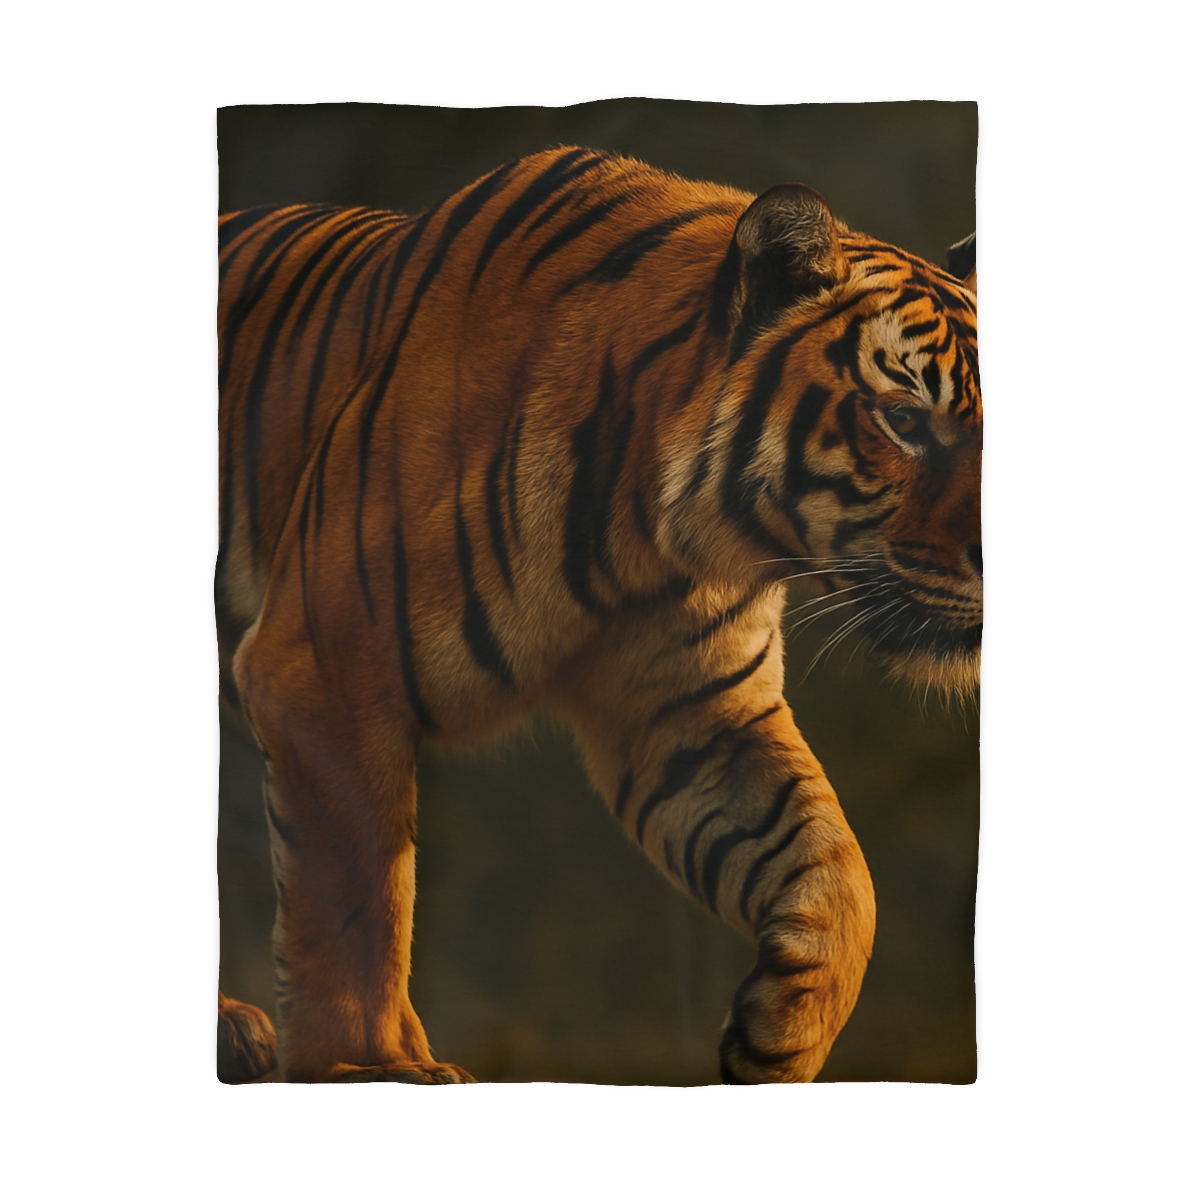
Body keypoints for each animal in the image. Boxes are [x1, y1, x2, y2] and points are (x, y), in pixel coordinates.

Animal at [216, 146, 980, 1085]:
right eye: (904, 419)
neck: (658, 543)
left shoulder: (696, 717)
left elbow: (837, 868)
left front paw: (784, 1035)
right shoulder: (325, 671)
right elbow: (354, 898)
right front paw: (366, 1069)